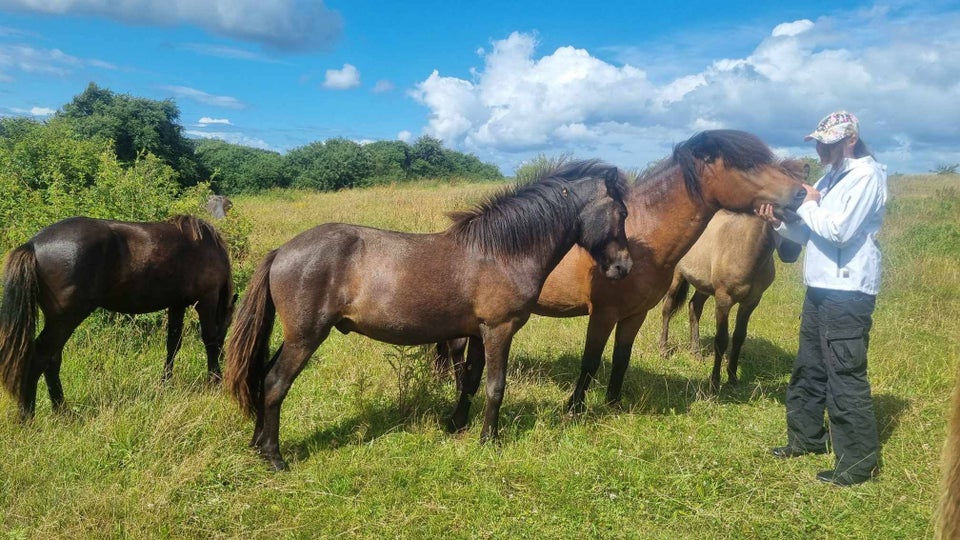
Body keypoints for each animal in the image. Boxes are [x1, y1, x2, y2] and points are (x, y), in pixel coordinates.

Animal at [0, 214, 236, 418]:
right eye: (227, 328)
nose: (226, 362)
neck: (207, 247)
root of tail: (33, 244)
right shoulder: (206, 299)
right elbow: (209, 339)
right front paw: (214, 380)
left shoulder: (176, 304)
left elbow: (173, 343)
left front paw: (165, 383)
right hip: (65, 320)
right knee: (40, 358)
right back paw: (28, 416)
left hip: (59, 322)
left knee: (52, 360)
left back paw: (62, 411)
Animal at [221, 159, 632, 468]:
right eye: (622, 212)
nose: (623, 268)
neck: (501, 253)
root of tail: (282, 251)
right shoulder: (499, 330)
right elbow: (495, 387)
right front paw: (489, 440)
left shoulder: (478, 332)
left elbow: (470, 382)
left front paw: (456, 425)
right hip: (306, 337)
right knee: (276, 382)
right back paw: (274, 456)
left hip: (296, 336)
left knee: (263, 377)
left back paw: (257, 443)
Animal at [660, 209, 804, 390]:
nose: (791, 251)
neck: (747, 249)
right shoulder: (723, 301)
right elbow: (721, 339)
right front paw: (715, 382)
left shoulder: (751, 302)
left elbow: (738, 337)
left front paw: (733, 378)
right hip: (676, 277)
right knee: (667, 308)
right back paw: (663, 350)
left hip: (703, 285)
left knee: (694, 307)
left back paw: (696, 353)